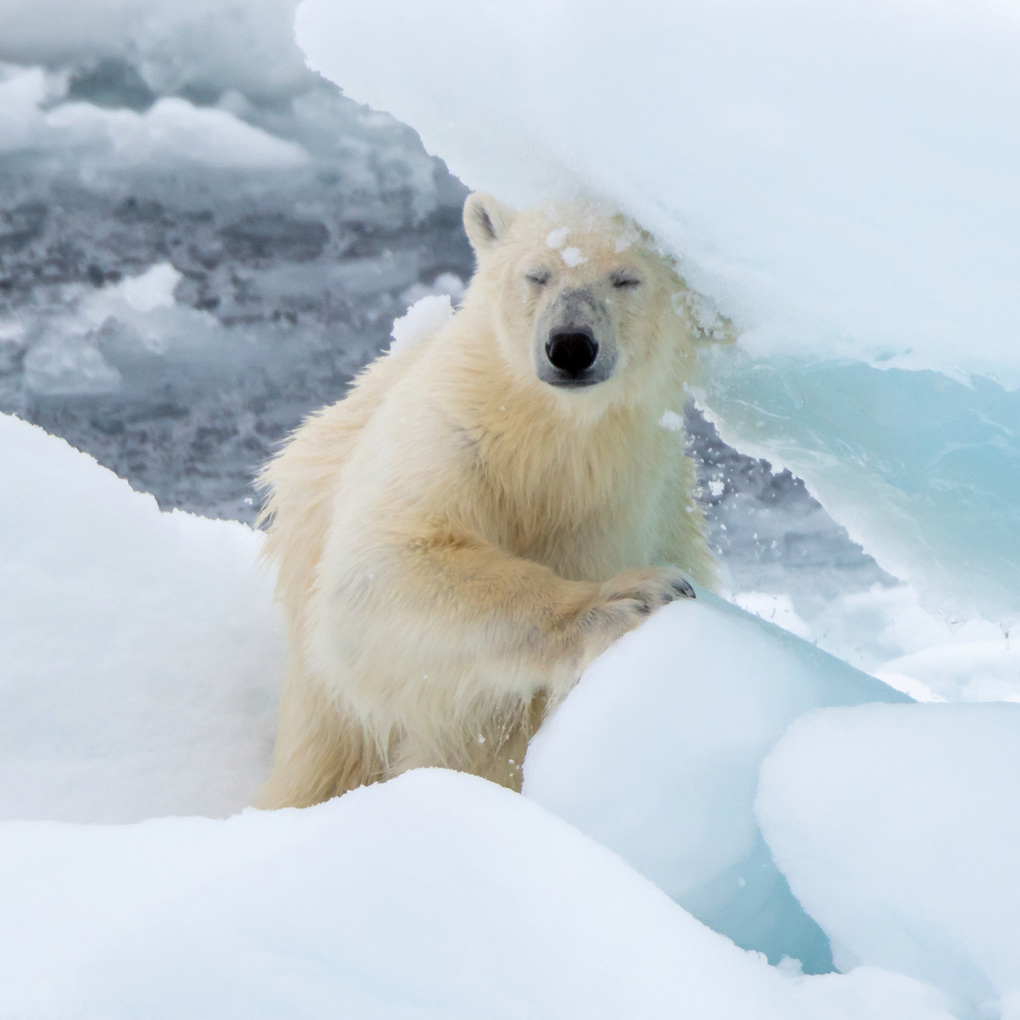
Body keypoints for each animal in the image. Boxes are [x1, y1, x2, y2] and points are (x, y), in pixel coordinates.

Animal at [255, 192, 716, 809]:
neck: (545, 431)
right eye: (536, 274)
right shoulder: (450, 431)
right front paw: (634, 596)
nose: (571, 346)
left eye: (625, 279)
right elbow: (380, 570)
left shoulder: (622, 491)